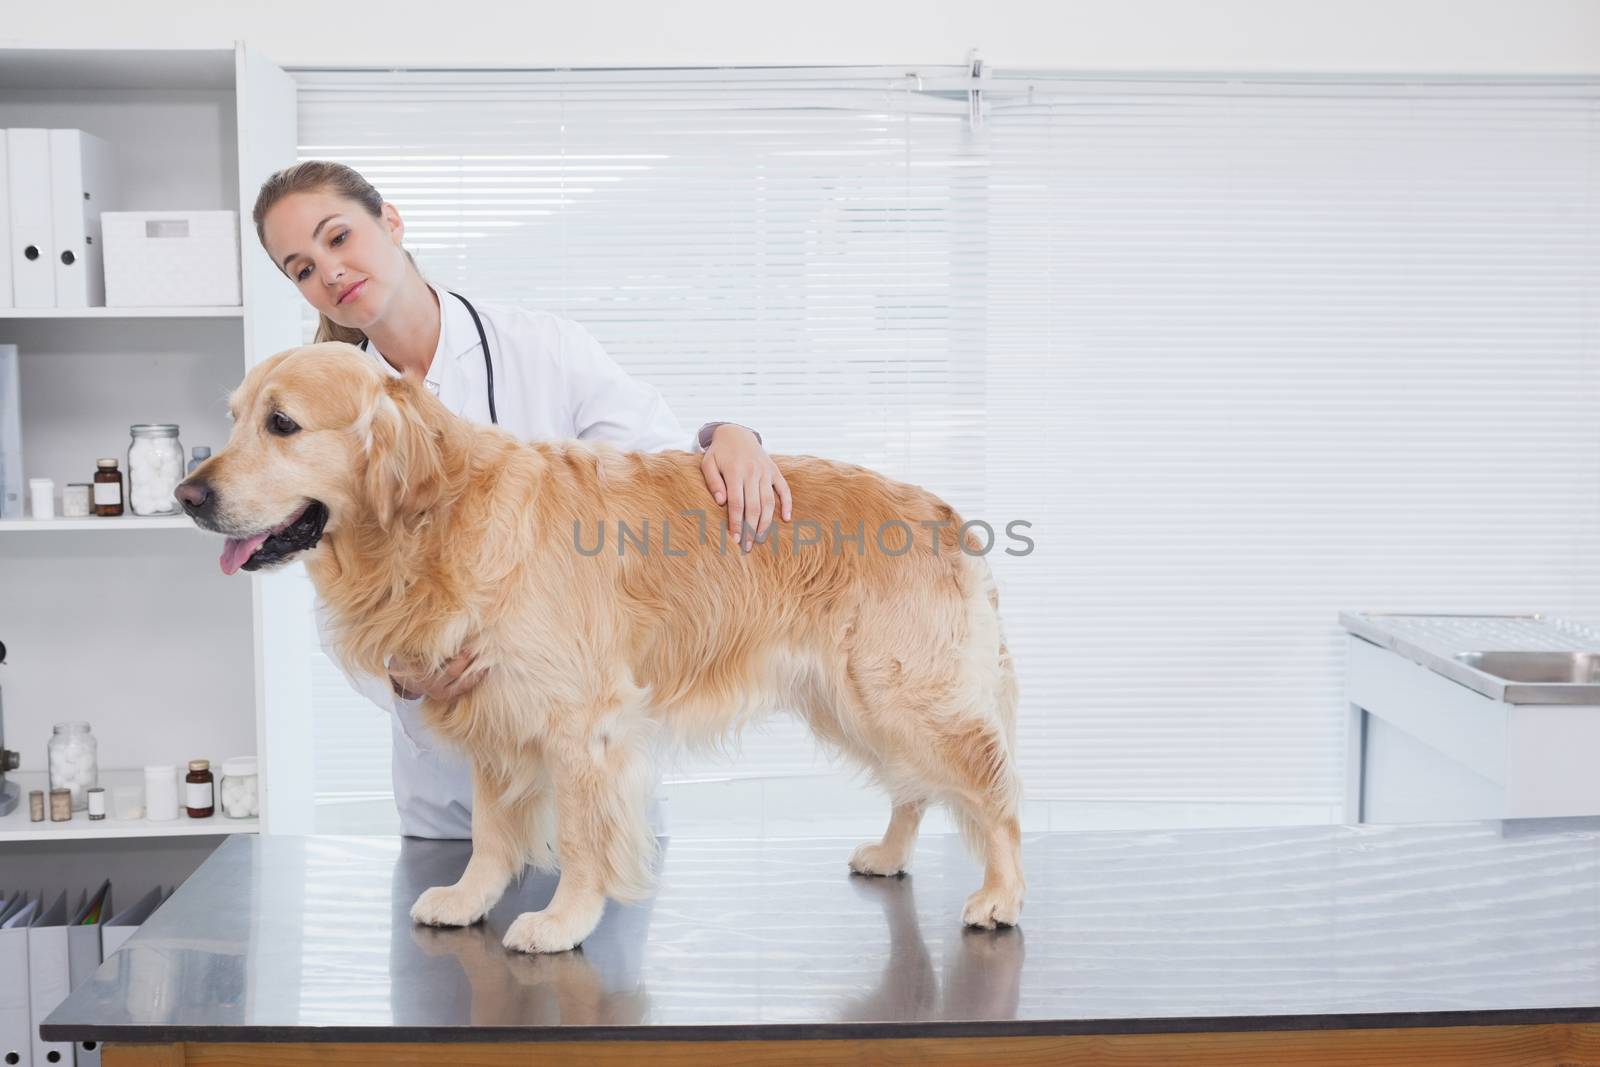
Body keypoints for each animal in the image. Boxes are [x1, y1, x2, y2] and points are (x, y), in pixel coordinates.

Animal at [175, 342, 1024, 953]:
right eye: (236, 416)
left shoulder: (582, 723)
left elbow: (582, 837)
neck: (434, 518)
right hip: (857, 697)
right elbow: (489, 832)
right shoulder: (491, 707)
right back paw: (891, 851)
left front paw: (563, 921)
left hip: (898, 688)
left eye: (282, 424)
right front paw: (469, 898)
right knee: (915, 785)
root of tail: (946, 513)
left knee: (992, 787)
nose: (187, 495)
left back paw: (1002, 892)